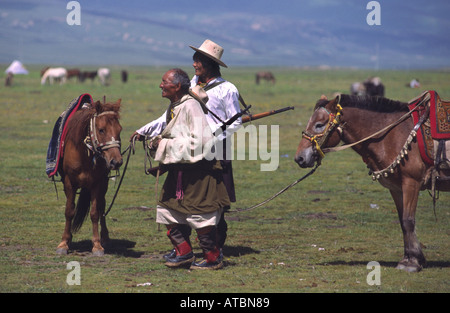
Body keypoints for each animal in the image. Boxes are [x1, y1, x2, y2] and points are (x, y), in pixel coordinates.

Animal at [296, 92, 450, 270]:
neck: (395, 133)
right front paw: (411, 257)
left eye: (319, 125)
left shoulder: (412, 182)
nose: (299, 158)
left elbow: (408, 220)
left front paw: (411, 262)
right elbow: (402, 221)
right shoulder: (396, 187)